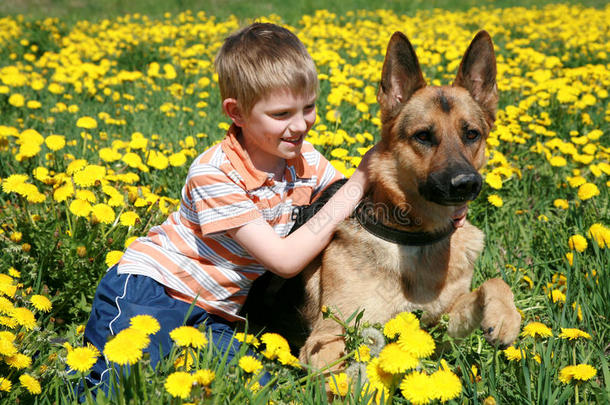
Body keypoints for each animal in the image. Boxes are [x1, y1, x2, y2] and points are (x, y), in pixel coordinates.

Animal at [241, 29, 516, 370]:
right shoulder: (327, 338)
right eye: (423, 136)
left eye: (472, 134)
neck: (415, 238)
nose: (466, 183)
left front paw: (505, 317)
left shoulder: (439, 329)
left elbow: (494, 283)